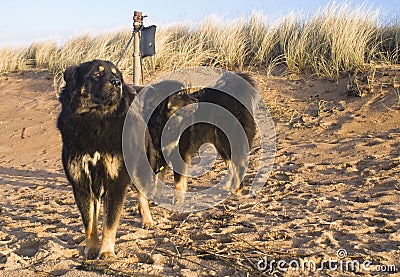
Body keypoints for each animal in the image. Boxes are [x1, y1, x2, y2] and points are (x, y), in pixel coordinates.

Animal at [57, 59, 156, 258]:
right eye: (97, 74)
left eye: (116, 75)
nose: (117, 83)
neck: (95, 118)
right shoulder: (82, 184)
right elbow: (89, 223)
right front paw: (91, 249)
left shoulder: (115, 183)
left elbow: (109, 222)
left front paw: (107, 252)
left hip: (140, 169)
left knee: (143, 196)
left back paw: (147, 221)